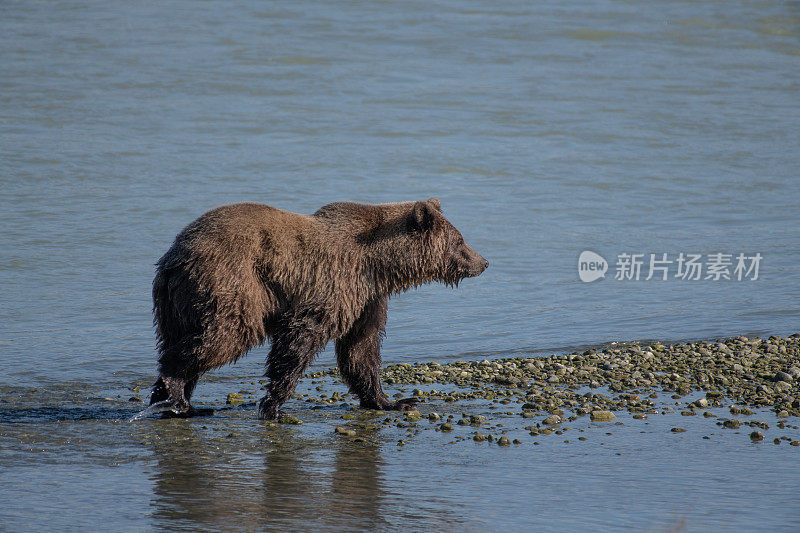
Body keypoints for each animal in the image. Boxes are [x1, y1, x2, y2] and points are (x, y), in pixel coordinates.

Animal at [149, 197, 488, 418]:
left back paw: (173, 400)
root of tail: (175, 255)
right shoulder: (333, 284)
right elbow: (301, 339)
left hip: (175, 303)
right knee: (223, 335)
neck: (378, 264)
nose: (483, 262)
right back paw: (176, 389)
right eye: (460, 241)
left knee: (183, 337)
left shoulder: (367, 297)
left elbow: (361, 348)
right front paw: (273, 404)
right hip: (231, 282)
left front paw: (390, 401)